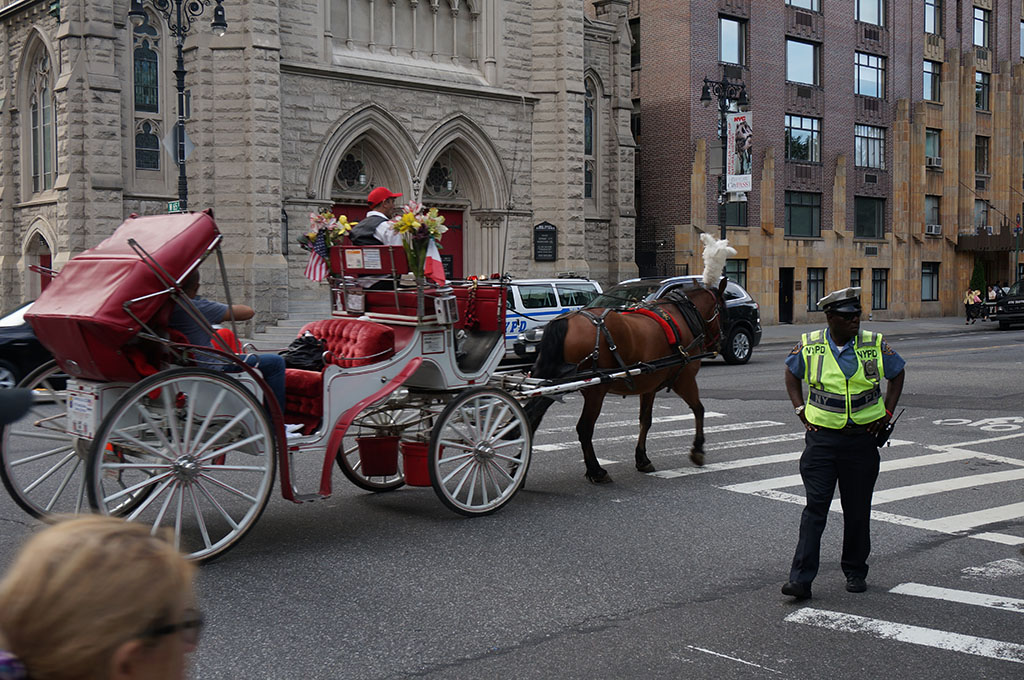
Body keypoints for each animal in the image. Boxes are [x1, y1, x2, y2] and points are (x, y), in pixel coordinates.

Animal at [528, 280, 729, 483]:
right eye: (722, 308)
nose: (720, 342)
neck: (681, 317)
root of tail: (566, 320)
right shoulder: (684, 379)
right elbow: (698, 409)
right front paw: (698, 450)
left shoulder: (649, 386)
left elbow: (645, 421)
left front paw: (642, 458)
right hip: (595, 391)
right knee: (584, 428)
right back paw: (596, 471)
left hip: (553, 384)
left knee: (532, 417)